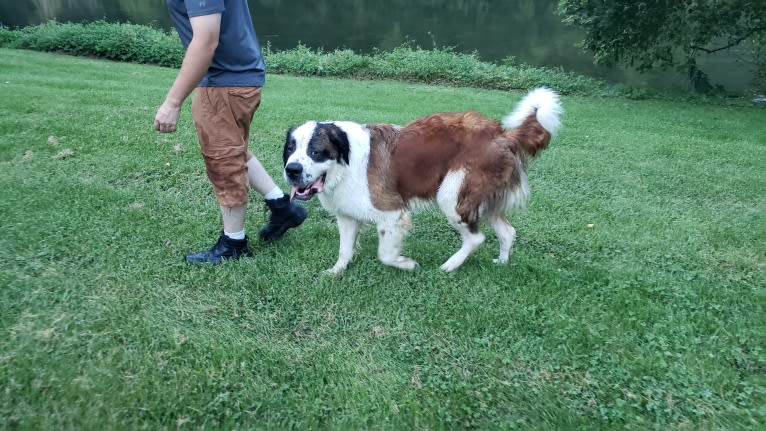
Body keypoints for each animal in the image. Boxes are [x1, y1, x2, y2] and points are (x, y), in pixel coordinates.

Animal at [282, 88, 564, 274]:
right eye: (290, 149)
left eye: (316, 152)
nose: (292, 170)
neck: (345, 162)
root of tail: (501, 135)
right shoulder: (347, 215)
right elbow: (345, 248)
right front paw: (337, 271)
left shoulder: (391, 212)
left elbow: (385, 254)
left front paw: (406, 264)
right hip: (482, 197)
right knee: (507, 232)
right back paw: (502, 263)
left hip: (453, 194)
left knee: (475, 238)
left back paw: (449, 266)